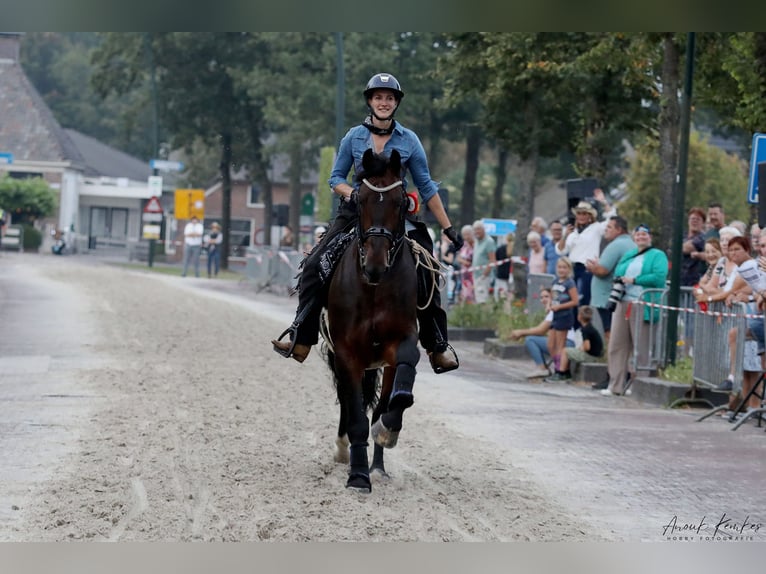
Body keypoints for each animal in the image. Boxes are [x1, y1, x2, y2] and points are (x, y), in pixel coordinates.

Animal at [322, 150, 420, 496]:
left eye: (400, 202)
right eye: (360, 200)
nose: (375, 265)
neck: (374, 287)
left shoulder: (399, 342)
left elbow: (393, 400)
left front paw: (386, 432)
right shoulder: (346, 352)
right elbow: (355, 416)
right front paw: (358, 476)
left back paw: (377, 466)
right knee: (347, 401)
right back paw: (345, 451)